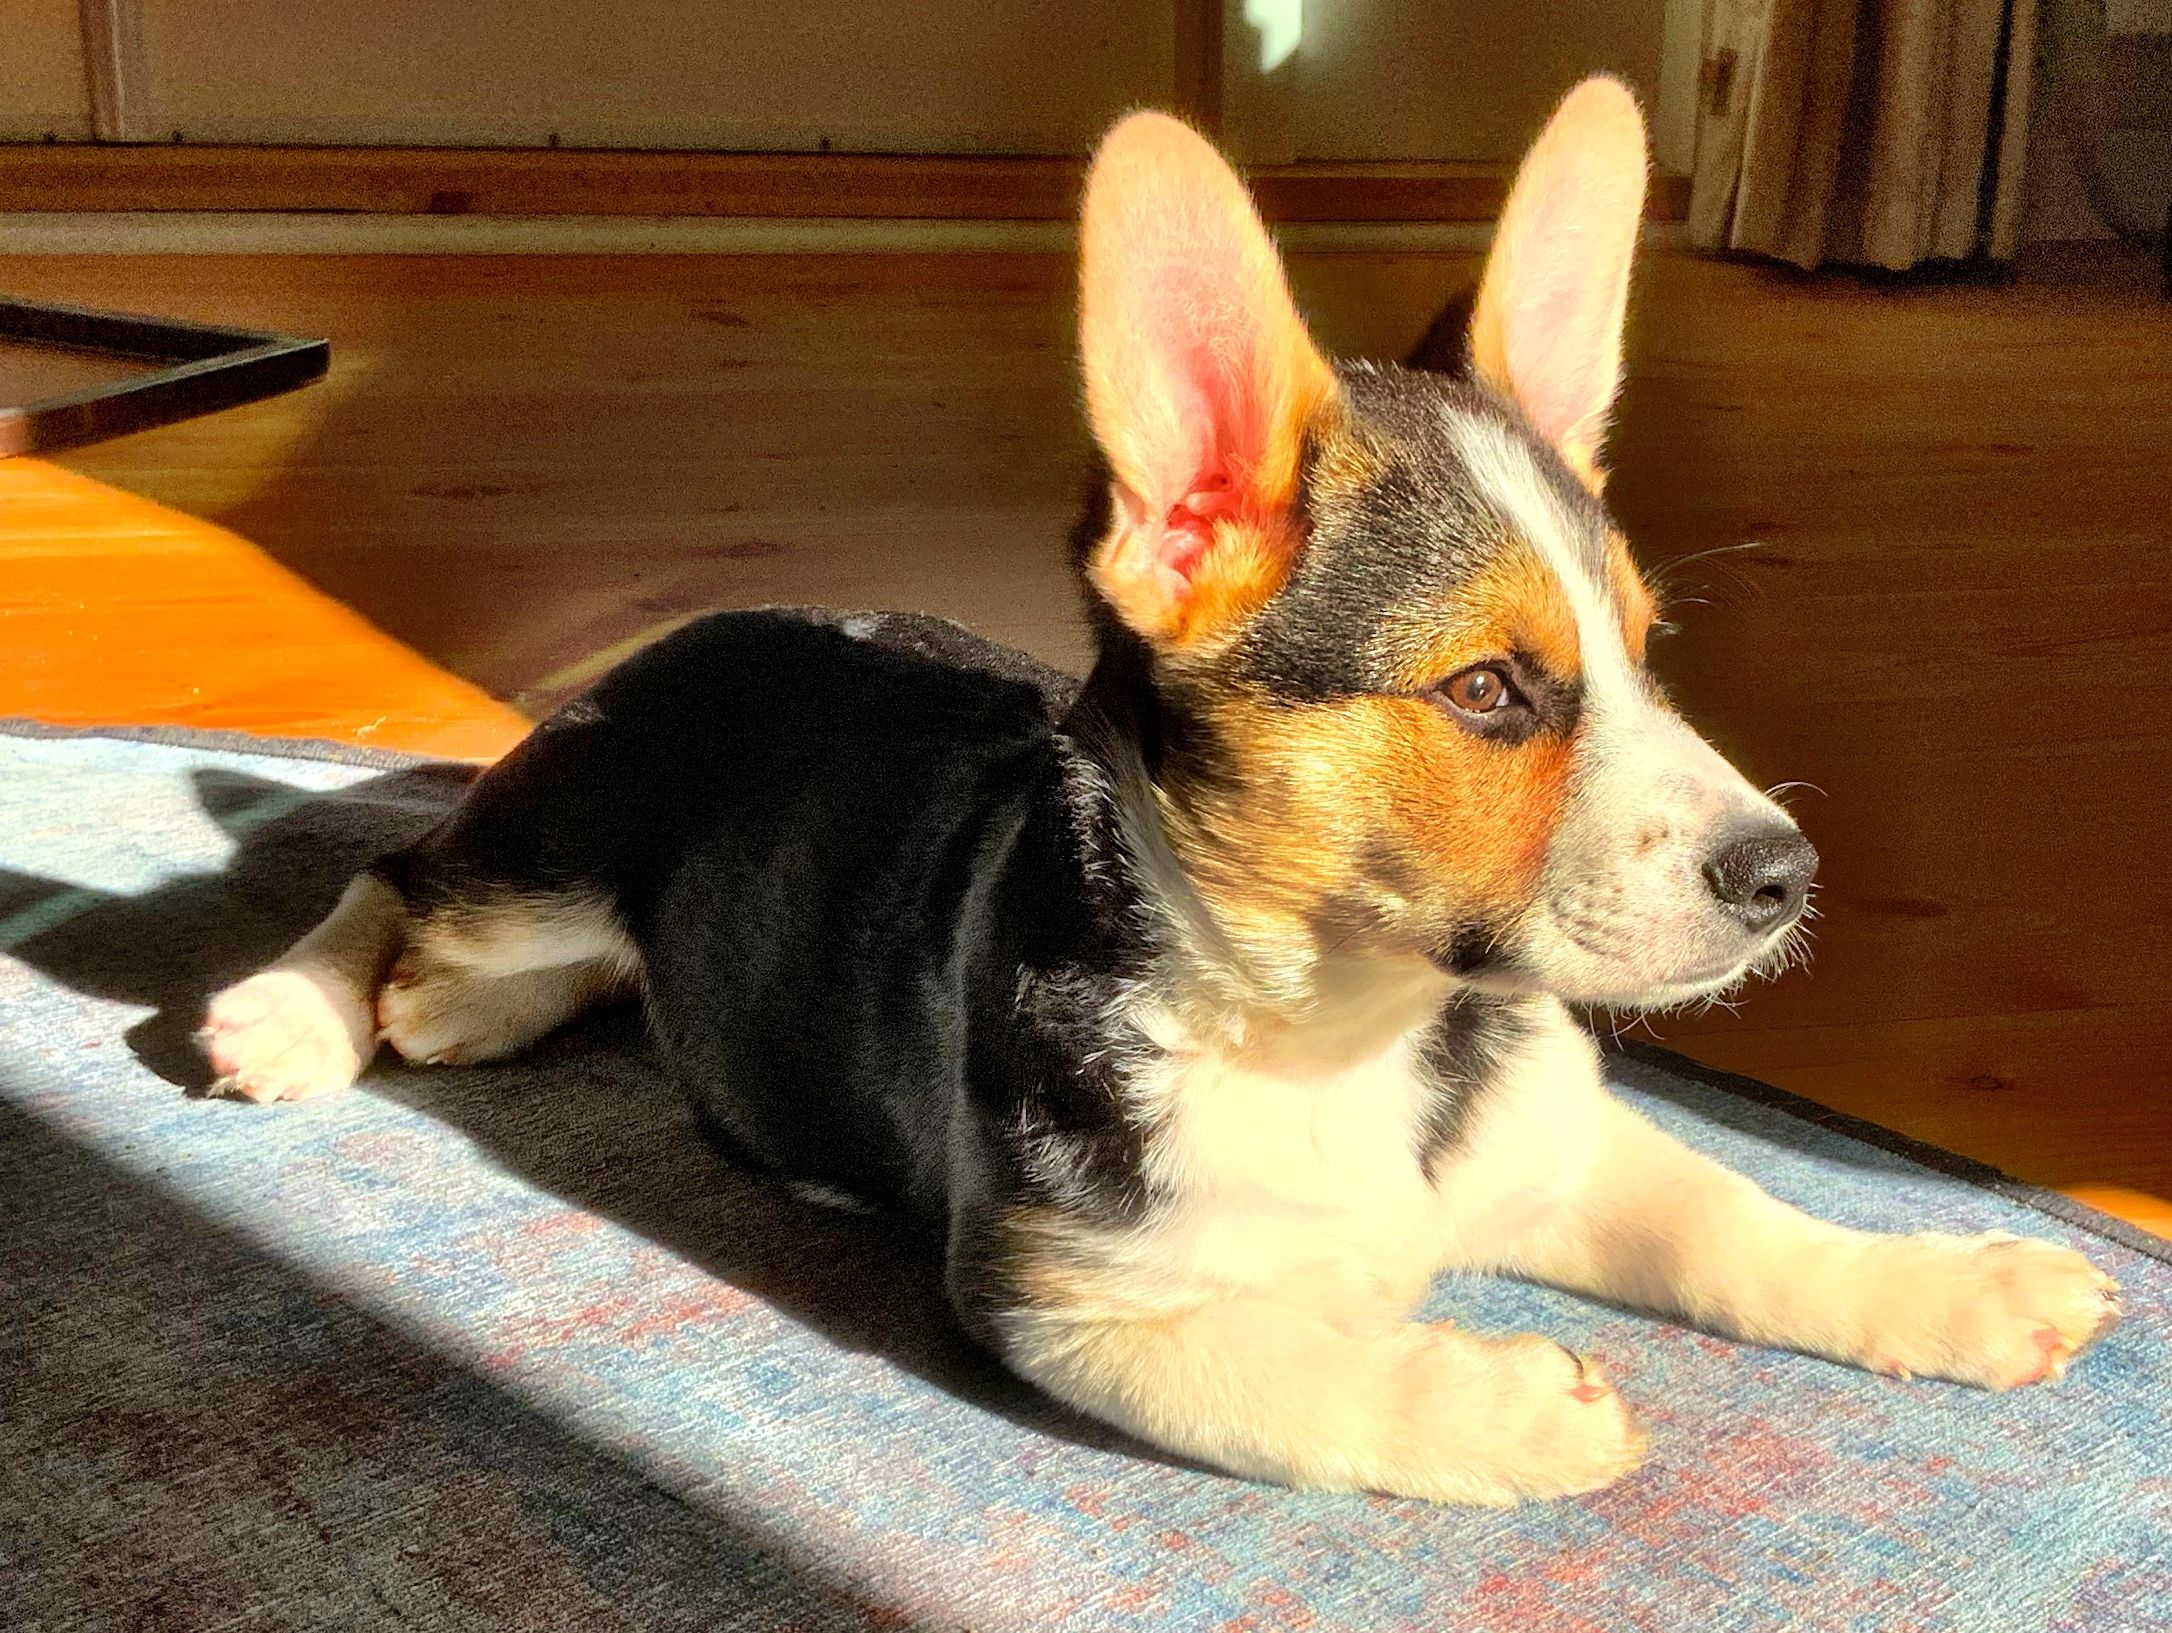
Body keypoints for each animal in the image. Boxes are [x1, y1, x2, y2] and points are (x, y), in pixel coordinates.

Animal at [199, 79, 2119, 1502]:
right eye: (1488, 691)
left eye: (1648, 652)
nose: (1786, 874)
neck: (1338, 1022)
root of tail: (714, 620)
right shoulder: (1072, 1302)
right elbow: (1294, 1375)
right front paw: (1497, 1404)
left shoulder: (1565, 1146)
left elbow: (1743, 1219)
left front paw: (1963, 1283)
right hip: (562, 821)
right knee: (397, 864)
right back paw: (296, 1015)